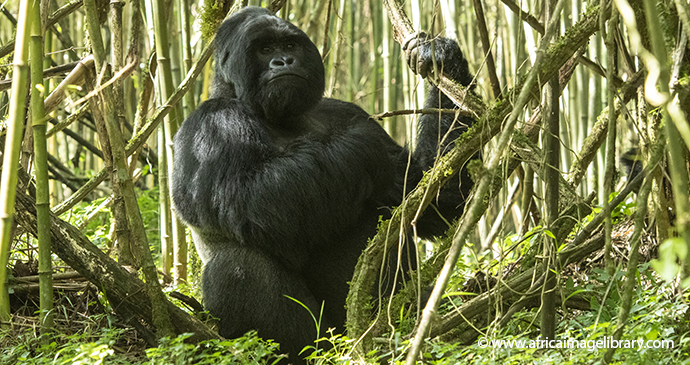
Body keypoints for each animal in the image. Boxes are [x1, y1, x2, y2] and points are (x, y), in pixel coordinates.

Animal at [169, 4, 476, 362]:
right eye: (264, 49)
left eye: (289, 46)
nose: (284, 62)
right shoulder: (210, 124)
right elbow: (252, 200)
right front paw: (363, 144)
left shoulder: (342, 108)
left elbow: (433, 197)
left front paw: (441, 57)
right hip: (322, 339)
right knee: (236, 267)